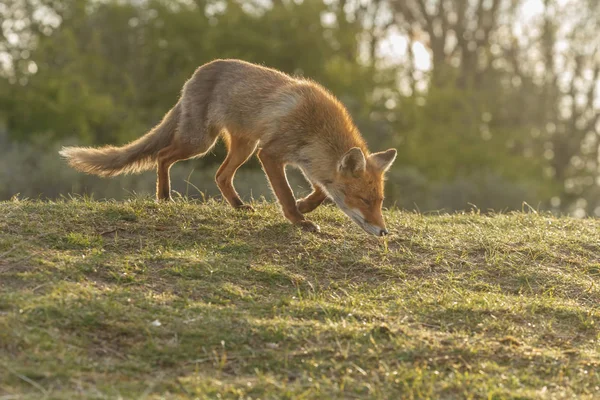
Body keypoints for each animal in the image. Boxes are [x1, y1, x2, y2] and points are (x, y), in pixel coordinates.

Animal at [61, 58, 398, 236]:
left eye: (380, 201)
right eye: (365, 200)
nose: (383, 232)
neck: (316, 128)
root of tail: (199, 71)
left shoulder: (308, 162)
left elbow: (321, 192)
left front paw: (304, 207)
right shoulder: (270, 153)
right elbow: (287, 195)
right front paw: (299, 220)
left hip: (242, 148)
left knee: (220, 176)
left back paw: (237, 206)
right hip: (202, 142)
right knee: (163, 156)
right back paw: (164, 196)